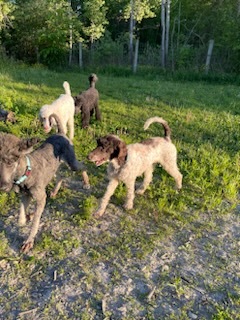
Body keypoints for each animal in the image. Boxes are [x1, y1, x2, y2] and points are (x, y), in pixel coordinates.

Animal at [0, 114, 89, 252]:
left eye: (11, 161)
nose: (3, 187)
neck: (26, 171)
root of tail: (61, 133)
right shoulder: (25, 196)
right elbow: (21, 219)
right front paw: (28, 216)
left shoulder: (41, 198)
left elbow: (35, 222)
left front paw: (29, 241)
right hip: (56, 167)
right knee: (60, 177)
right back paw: (55, 191)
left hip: (72, 163)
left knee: (83, 166)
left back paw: (86, 182)